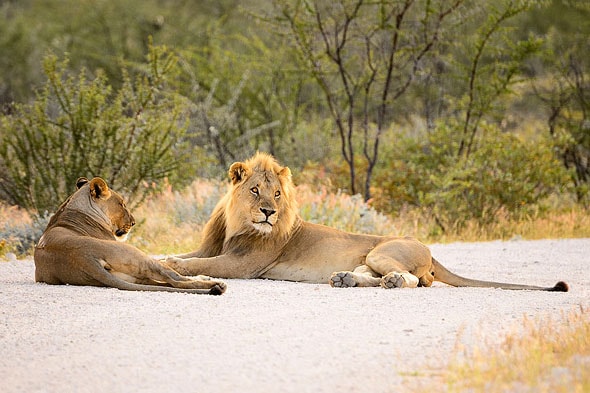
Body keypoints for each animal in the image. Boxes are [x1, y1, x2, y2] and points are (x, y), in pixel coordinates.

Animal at [34, 176, 227, 292]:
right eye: (122, 204)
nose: (134, 222)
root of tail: (83, 257)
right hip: (137, 255)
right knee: (174, 279)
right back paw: (215, 284)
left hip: (131, 276)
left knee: (166, 283)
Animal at [166, 153, 568, 290]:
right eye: (254, 191)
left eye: (277, 194)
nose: (269, 213)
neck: (238, 225)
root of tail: (428, 248)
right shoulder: (213, 249)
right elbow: (188, 258)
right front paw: (164, 258)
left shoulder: (243, 264)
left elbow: (198, 265)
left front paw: (169, 265)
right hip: (369, 259)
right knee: (373, 276)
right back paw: (345, 279)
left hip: (382, 252)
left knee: (419, 281)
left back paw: (393, 281)